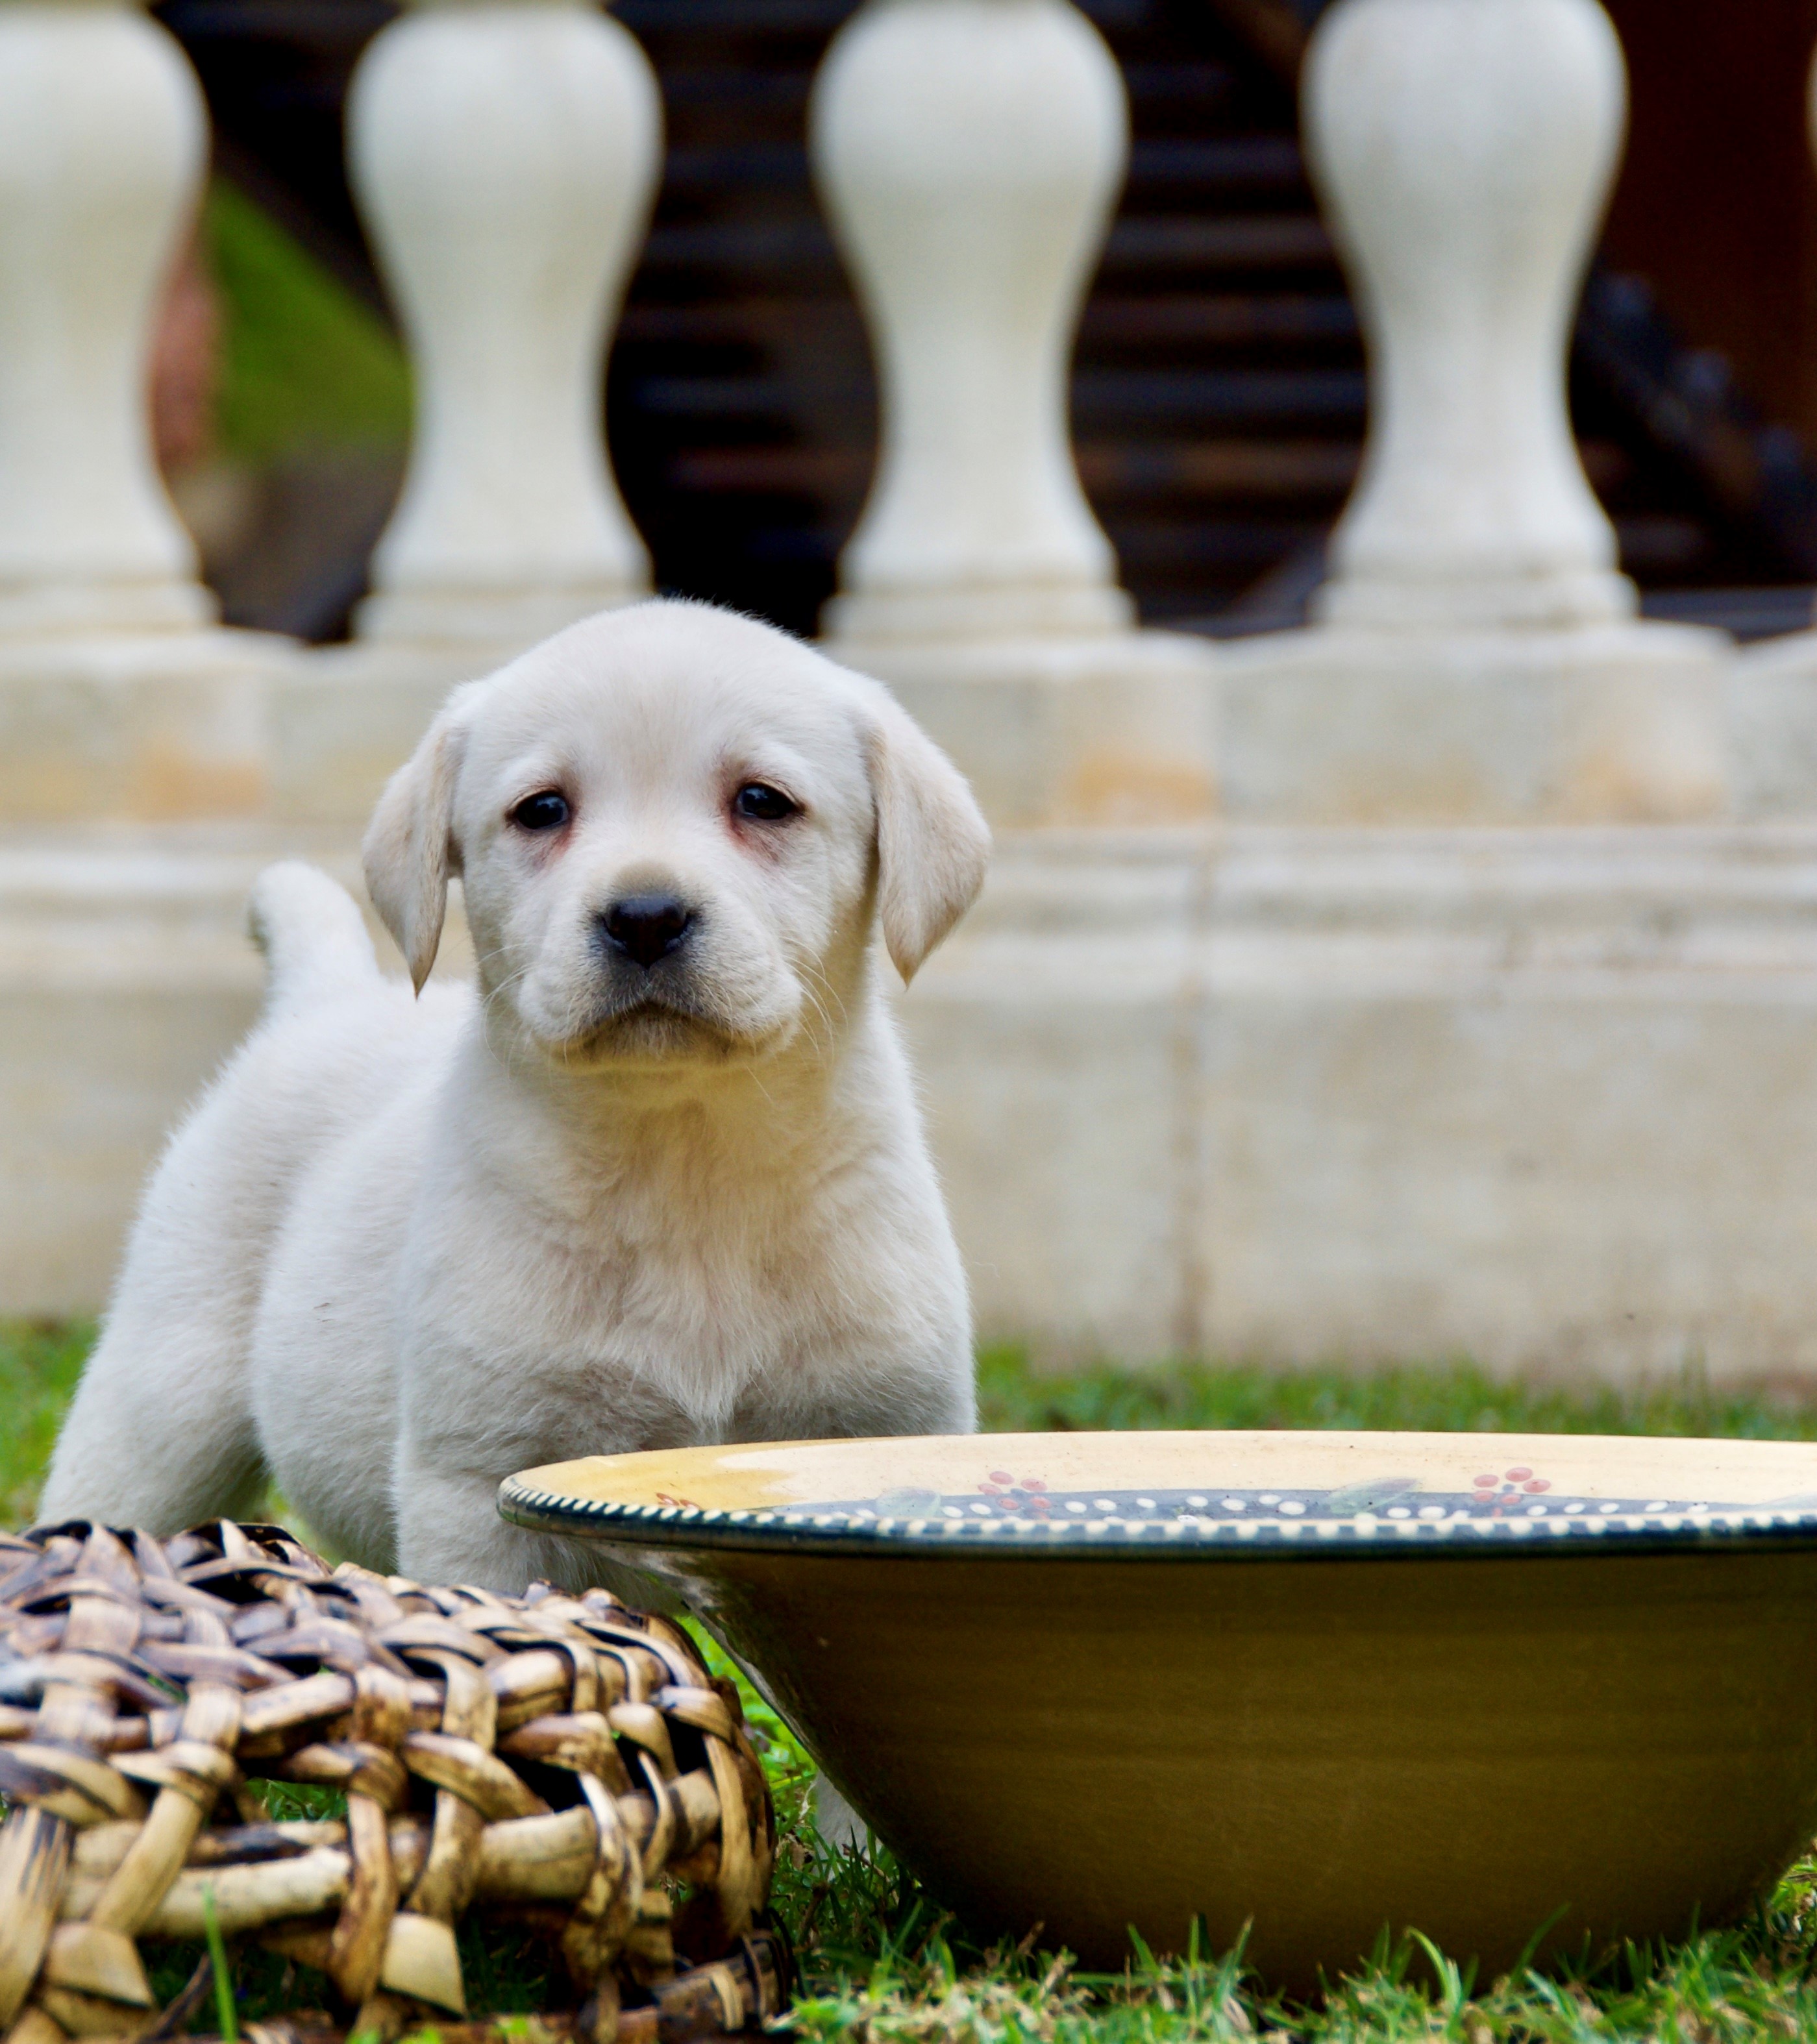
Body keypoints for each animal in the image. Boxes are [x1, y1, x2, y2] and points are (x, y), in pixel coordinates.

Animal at [39, 597, 993, 1586]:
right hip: (158, 1406)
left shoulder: (885, 1426)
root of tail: (325, 991)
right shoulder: (480, 1490)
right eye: (542, 810)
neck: (682, 1149)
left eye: (763, 800)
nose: (644, 916)